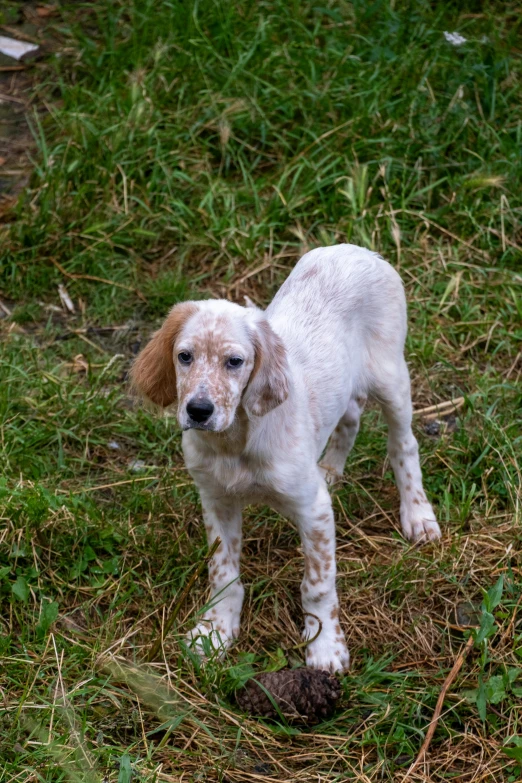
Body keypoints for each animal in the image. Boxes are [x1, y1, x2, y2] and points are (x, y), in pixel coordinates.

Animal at [131, 243, 438, 672]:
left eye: (235, 362)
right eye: (184, 356)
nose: (198, 410)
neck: (235, 442)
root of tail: (357, 248)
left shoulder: (314, 509)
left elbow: (317, 585)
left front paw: (325, 647)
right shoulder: (216, 501)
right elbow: (222, 573)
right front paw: (215, 633)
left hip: (391, 377)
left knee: (403, 444)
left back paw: (418, 514)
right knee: (351, 416)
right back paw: (330, 469)